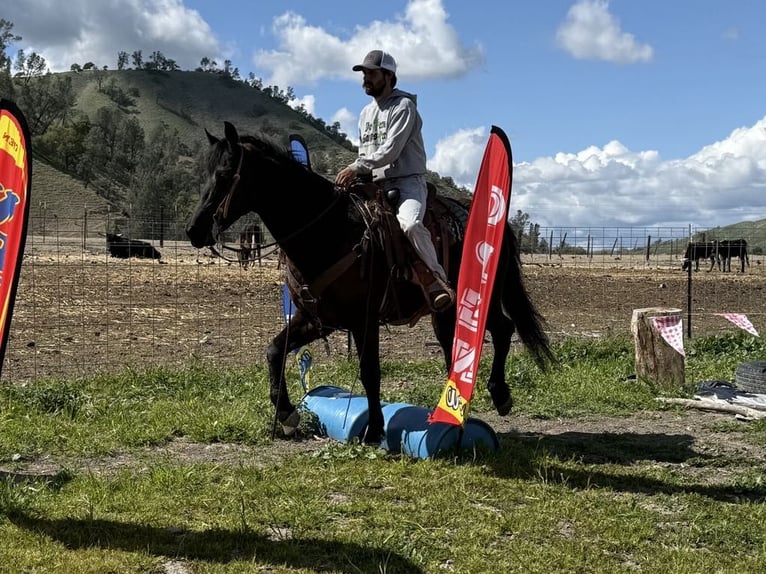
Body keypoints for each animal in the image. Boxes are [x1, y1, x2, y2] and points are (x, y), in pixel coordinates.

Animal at [186, 122, 553, 443]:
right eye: (206, 174)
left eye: (224, 175)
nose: (194, 229)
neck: (330, 232)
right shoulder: (317, 319)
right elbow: (274, 350)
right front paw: (287, 414)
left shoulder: (363, 321)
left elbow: (369, 372)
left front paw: (374, 430)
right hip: (445, 312)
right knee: (456, 347)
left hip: (476, 298)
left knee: (503, 328)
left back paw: (500, 395)